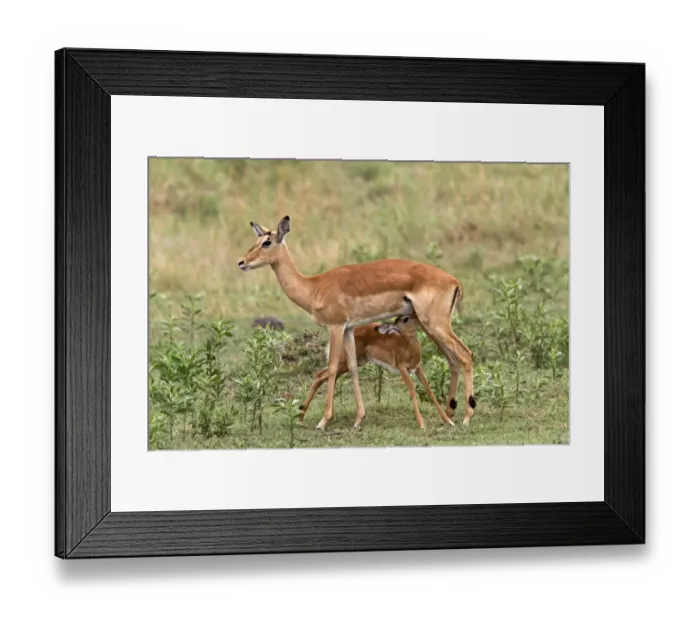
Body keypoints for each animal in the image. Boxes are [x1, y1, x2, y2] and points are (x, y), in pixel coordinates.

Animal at [298, 312, 454, 430]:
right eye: (406, 318)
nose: (421, 317)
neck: (408, 346)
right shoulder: (402, 368)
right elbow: (412, 389)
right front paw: (422, 424)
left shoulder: (417, 368)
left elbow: (429, 390)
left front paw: (448, 421)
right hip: (343, 364)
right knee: (321, 376)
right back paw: (315, 421)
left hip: (349, 365)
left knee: (321, 376)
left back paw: (305, 419)